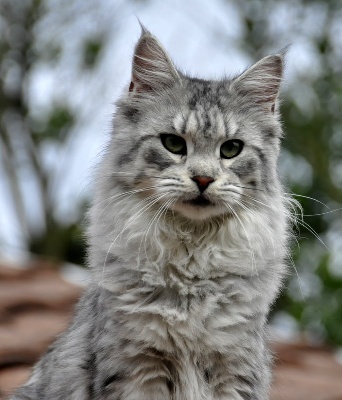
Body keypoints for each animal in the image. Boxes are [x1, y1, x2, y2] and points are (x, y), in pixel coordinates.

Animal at [12, 26, 292, 398]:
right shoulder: (136, 368)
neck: (192, 258)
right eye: (173, 143)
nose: (203, 179)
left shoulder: (236, 370)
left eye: (231, 149)